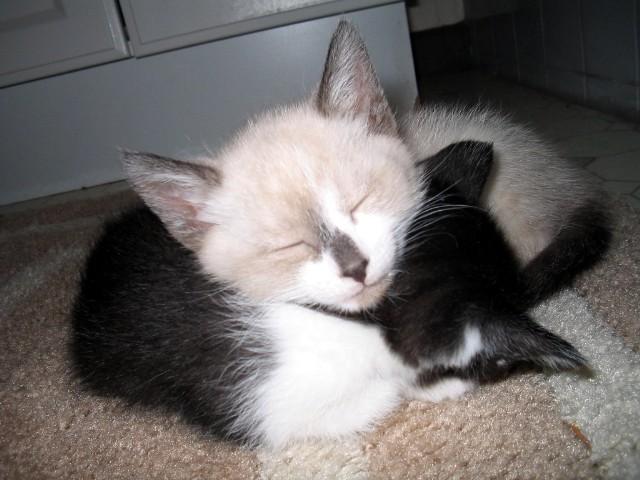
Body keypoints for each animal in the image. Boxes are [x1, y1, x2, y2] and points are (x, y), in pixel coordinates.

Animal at [71, 21, 587, 448]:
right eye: (287, 245)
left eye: (361, 202)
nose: (356, 266)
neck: (358, 320)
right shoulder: (259, 405)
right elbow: (379, 392)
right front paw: (441, 383)